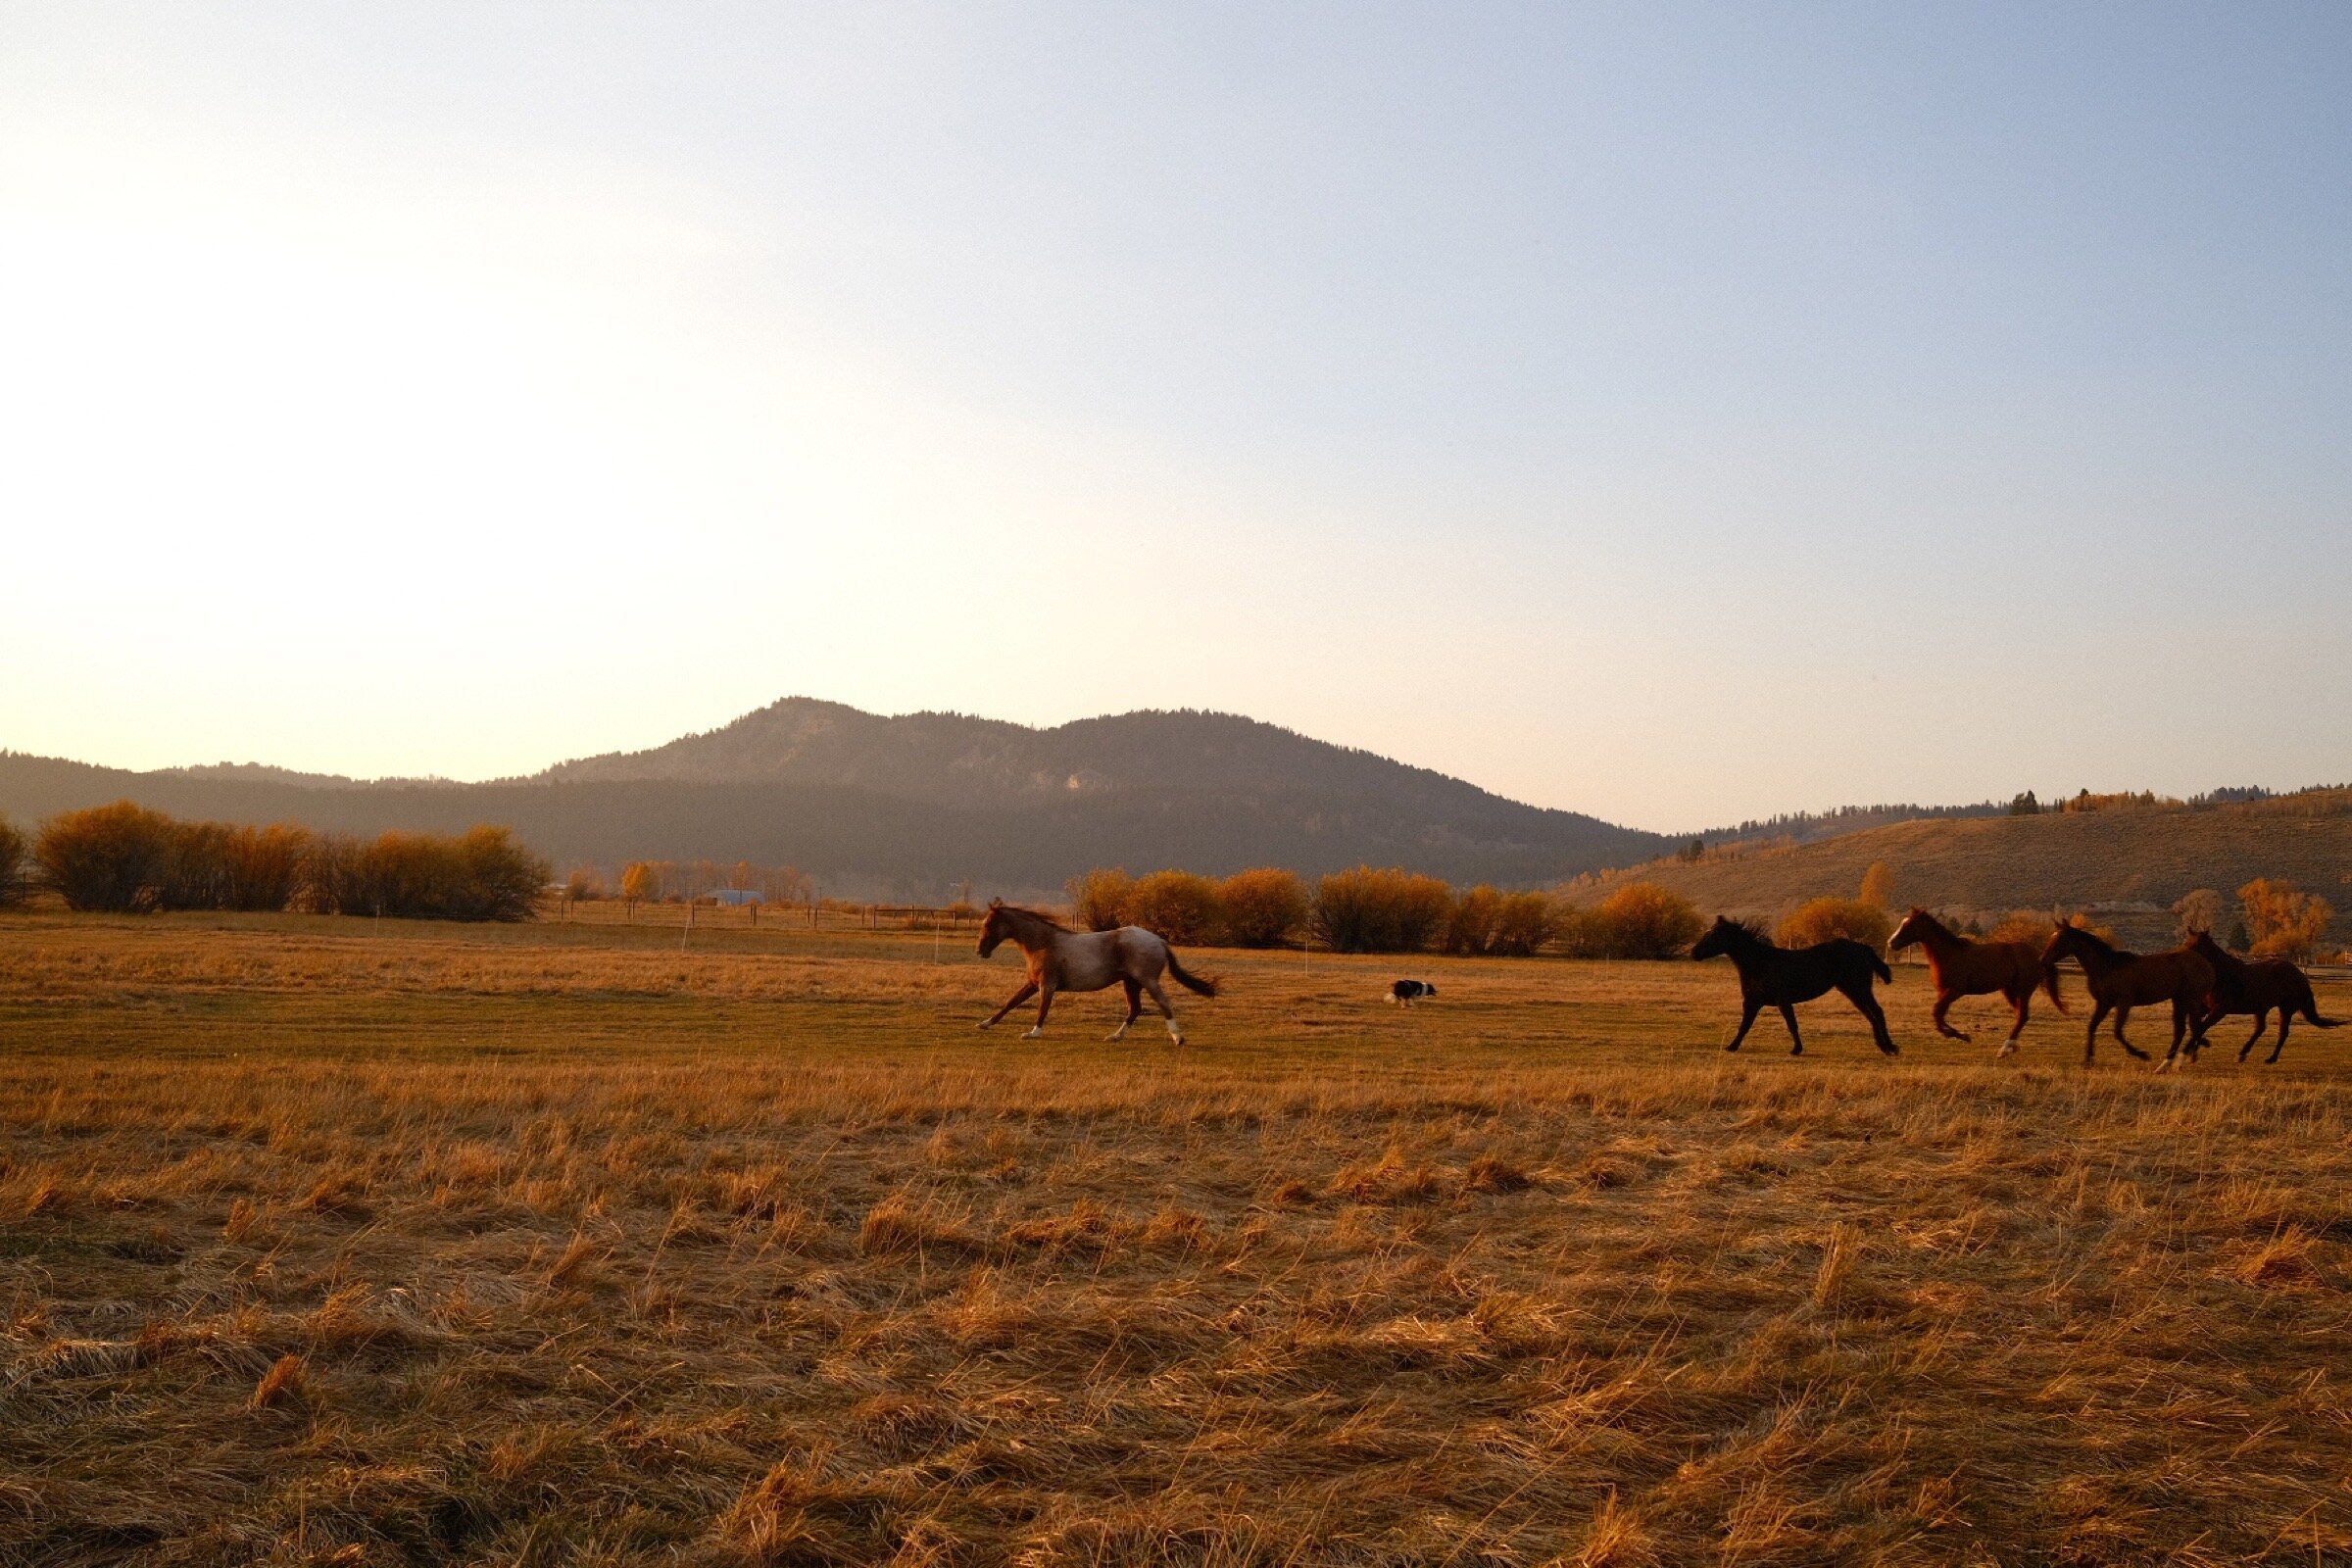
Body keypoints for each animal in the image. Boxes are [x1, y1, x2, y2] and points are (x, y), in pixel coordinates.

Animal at [975, 900, 1218, 1043]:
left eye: (988, 924)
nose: (980, 951)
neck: (1042, 943)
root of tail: (1159, 941)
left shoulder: (1047, 985)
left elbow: (1042, 1009)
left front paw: (1033, 1033)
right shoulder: (1033, 984)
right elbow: (1010, 1003)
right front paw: (985, 1024)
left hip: (1148, 981)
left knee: (1164, 1004)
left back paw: (1177, 1037)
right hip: (1131, 983)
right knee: (1135, 1009)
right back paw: (1115, 1036)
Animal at [1691, 915, 1899, 1056]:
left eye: (1714, 935)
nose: (1694, 953)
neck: (1760, 962)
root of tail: (1864, 948)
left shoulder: (1781, 1000)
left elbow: (1791, 1024)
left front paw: (1796, 1049)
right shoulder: (1752, 1001)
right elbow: (1745, 1025)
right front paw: (1732, 1046)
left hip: (1860, 989)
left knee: (1877, 1012)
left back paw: (1891, 1047)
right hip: (1851, 991)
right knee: (1870, 1014)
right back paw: (1883, 1046)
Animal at [1887, 907, 2064, 1057]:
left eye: (1909, 924)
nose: (1891, 943)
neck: (1949, 954)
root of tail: (2039, 955)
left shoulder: (1955, 991)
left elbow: (1937, 1013)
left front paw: (1963, 1036)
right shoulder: (1943, 992)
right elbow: (1939, 1015)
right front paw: (1960, 1035)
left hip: (2023, 990)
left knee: (2022, 1016)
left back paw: (2004, 1049)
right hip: (2008, 990)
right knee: (2021, 1015)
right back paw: (2012, 1047)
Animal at [2038, 922, 2214, 1069]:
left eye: (2060, 939)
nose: (2042, 960)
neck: (2107, 967)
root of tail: (2205, 964)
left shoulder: (2124, 1003)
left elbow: (2117, 1031)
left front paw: (2142, 1054)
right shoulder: (2103, 1004)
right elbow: (2092, 1027)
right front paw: (2088, 1060)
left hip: (2192, 999)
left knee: (2195, 1027)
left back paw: (2181, 1059)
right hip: (2179, 1000)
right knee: (2185, 1029)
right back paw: (2169, 1063)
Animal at [2187, 929, 2341, 1064]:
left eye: (2198, 944)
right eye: (2187, 942)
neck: (2223, 975)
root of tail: (2300, 975)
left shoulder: (2220, 1010)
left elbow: (2201, 1027)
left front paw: (2192, 1052)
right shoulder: (2204, 1008)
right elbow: (2196, 1026)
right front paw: (2193, 1052)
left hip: (2285, 1009)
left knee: (2282, 1032)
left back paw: (2270, 1058)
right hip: (2261, 1009)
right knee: (2260, 1029)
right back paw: (2243, 1054)